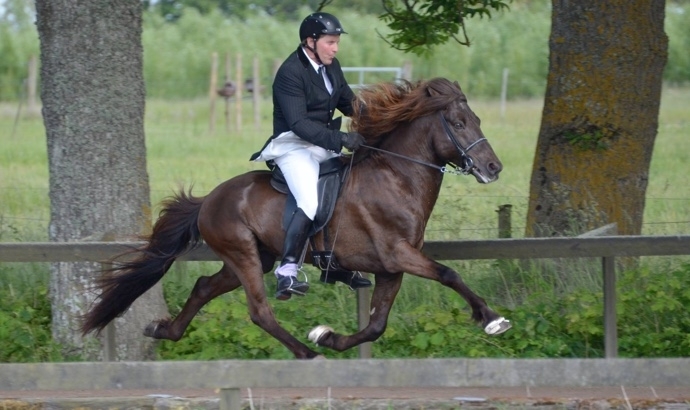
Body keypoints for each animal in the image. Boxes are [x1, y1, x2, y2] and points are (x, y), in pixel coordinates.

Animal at [82, 77, 510, 358]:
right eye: (458, 124)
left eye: (478, 120)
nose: (494, 168)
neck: (396, 177)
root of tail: (209, 199)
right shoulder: (397, 253)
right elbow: (449, 274)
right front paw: (491, 318)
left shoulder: (391, 267)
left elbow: (375, 326)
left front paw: (328, 337)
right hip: (243, 253)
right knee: (259, 311)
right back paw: (306, 353)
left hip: (255, 256)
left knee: (204, 287)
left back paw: (165, 330)